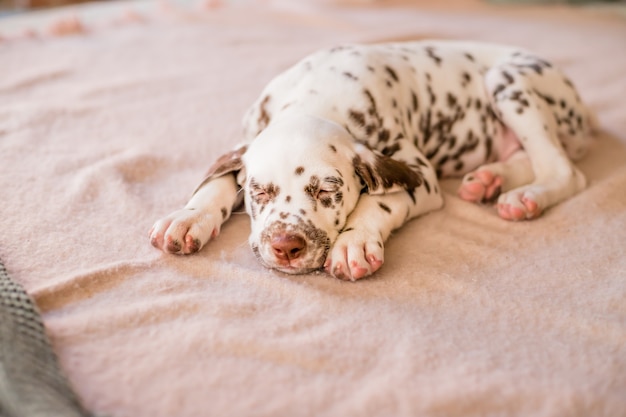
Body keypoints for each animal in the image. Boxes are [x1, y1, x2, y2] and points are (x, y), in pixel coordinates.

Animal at [149, 40, 592, 280]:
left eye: (327, 191)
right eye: (260, 192)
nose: (286, 246)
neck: (318, 93)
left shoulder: (420, 176)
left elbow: (379, 202)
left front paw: (355, 242)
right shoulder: (244, 141)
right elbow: (218, 180)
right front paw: (188, 216)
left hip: (509, 81)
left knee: (563, 171)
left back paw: (525, 197)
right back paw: (488, 180)